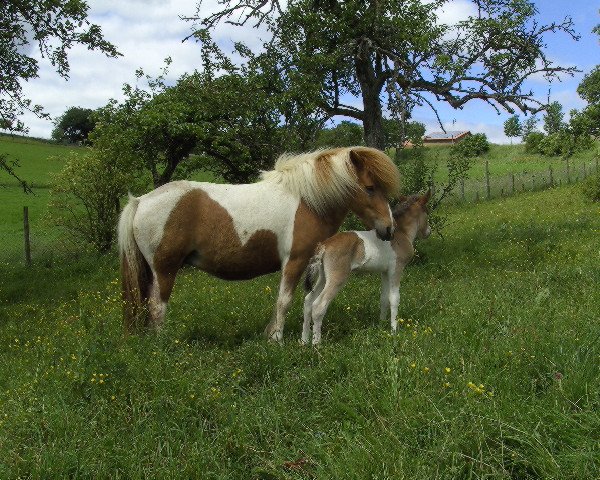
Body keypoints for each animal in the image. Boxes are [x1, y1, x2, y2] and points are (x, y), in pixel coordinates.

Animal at [118, 144, 398, 340]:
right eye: (370, 188)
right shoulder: (294, 262)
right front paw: (276, 339)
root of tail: (141, 201)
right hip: (164, 270)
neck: (308, 201)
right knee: (157, 308)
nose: (389, 228)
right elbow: (284, 301)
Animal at [304, 189, 432, 344]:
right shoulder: (396, 269)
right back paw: (316, 343)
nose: (429, 231)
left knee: (308, 301)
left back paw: (304, 340)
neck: (401, 234)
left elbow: (384, 298)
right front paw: (394, 331)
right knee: (318, 305)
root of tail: (324, 245)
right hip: (337, 277)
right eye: (427, 211)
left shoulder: (385, 272)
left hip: (323, 276)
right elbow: (394, 298)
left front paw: (382, 325)